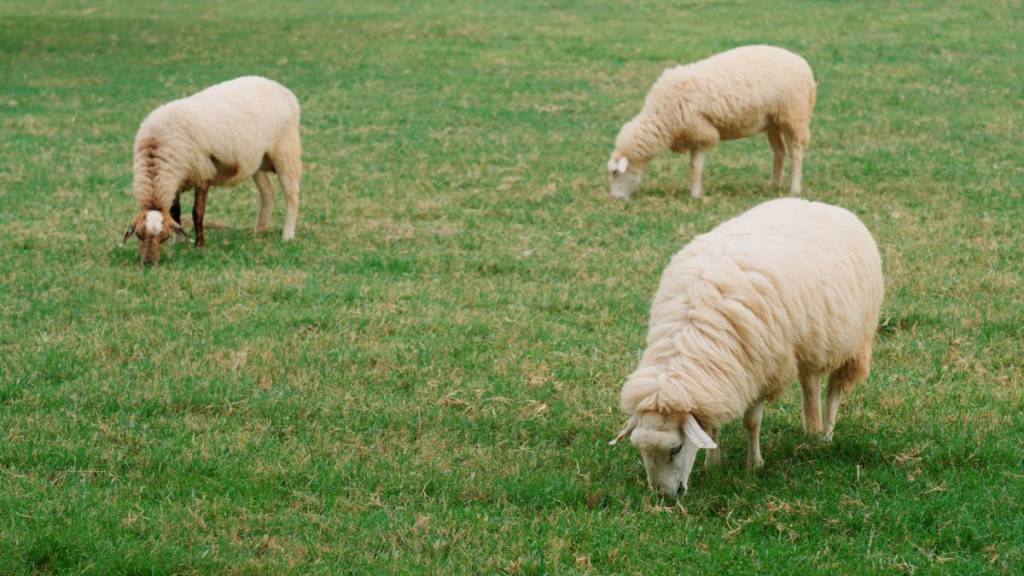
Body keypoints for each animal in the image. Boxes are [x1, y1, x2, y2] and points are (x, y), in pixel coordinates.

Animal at [120, 75, 302, 265]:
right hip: (256, 159)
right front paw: (178, 243)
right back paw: (259, 230)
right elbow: (175, 211)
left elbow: (197, 212)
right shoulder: (176, 178)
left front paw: (199, 245)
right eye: (139, 235)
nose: (148, 264)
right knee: (268, 192)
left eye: (162, 237)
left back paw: (287, 235)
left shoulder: (202, 174)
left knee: (292, 194)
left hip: (286, 149)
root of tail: (279, 86)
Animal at [607, 45, 816, 200]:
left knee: (796, 151)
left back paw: (794, 188)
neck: (661, 115)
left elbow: (696, 167)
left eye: (616, 173)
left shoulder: (701, 132)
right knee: (779, 152)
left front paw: (695, 195)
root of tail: (803, 63)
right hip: (773, 121)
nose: (615, 199)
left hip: (794, 115)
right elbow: (694, 166)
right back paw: (773, 184)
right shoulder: (692, 135)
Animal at [608, 198, 883, 497]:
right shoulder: (719, 379)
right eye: (640, 450)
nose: (663, 497)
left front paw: (754, 465)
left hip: (852, 341)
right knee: (810, 383)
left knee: (834, 390)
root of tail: (822, 205)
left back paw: (826, 435)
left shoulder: (763, 369)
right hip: (809, 341)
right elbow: (712, 428)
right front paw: (713, 465)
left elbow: (752, 422)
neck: (691, 333)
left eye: (676, 449)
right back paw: (812, 430)